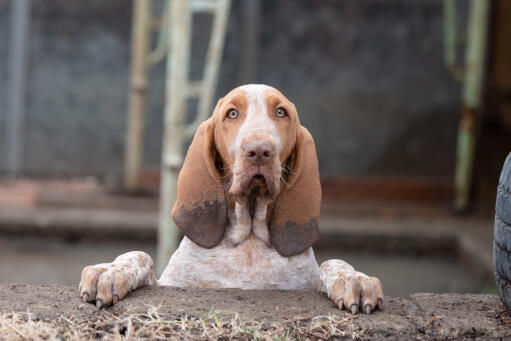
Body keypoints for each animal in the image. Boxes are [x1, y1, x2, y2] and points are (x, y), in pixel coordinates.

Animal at [79, 84, 384, 314]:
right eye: (232, 113)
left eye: (281, 112)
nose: (259, 151)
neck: (248, 238)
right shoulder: (169, 283)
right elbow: (139, 255)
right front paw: (110, 271)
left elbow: (334, 263)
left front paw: (354, 279)